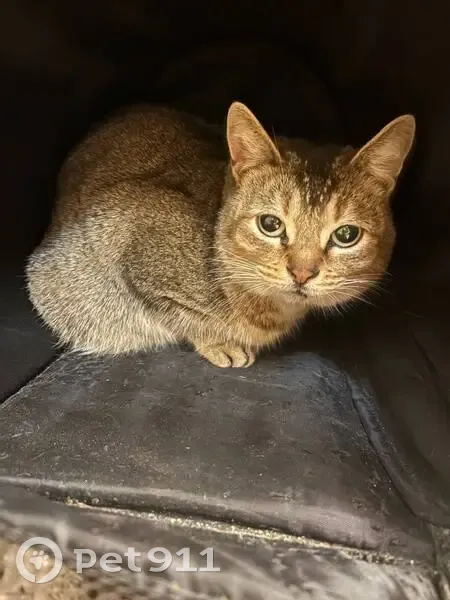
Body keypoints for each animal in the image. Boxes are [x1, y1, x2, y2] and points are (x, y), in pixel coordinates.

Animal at [26, 102, 415, 367]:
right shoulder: (129, 241)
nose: (302, 273)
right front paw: (219, 343)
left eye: (347, 235)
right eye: (270, 224)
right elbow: (183, 318)